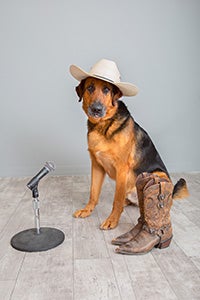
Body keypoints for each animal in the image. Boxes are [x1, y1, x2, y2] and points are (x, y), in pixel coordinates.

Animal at [69, 59, 189, 231]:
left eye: (106, 89)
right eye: (90, 88)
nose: (97, 109)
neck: (103, 126)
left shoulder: (121, 169)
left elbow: (116, 199)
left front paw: (112, 220)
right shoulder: (96, 166)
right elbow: (93, 193)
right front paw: (87, 210)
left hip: (158, 175)